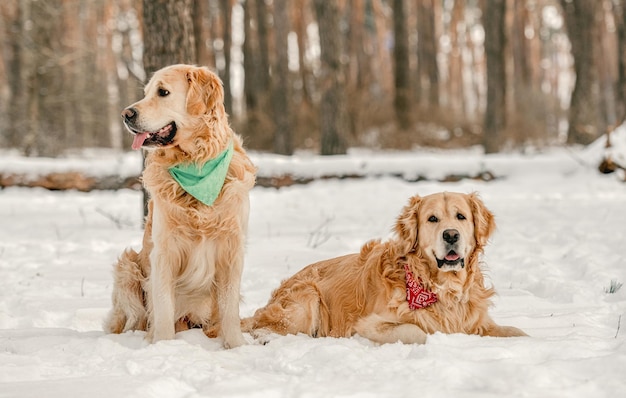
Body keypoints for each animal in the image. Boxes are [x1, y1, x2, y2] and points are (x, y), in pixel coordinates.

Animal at [103, 63, 255, 346]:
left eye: (163, 92)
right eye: (146, 92)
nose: (126, 114)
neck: (196, 163)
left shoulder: (231, 248)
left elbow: (229, 308)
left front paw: (236, 346)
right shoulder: (164, 251)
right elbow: (163, 307)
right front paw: (163, 345)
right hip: (128, 268)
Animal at [241, 191, 524, 344]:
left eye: (461, 217)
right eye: (432, 219)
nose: (451, 235)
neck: (440, 288)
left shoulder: (478, 322)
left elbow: (517, 332)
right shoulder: (368, 324)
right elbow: (417, 331)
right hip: (307, 297)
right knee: (260, 326)